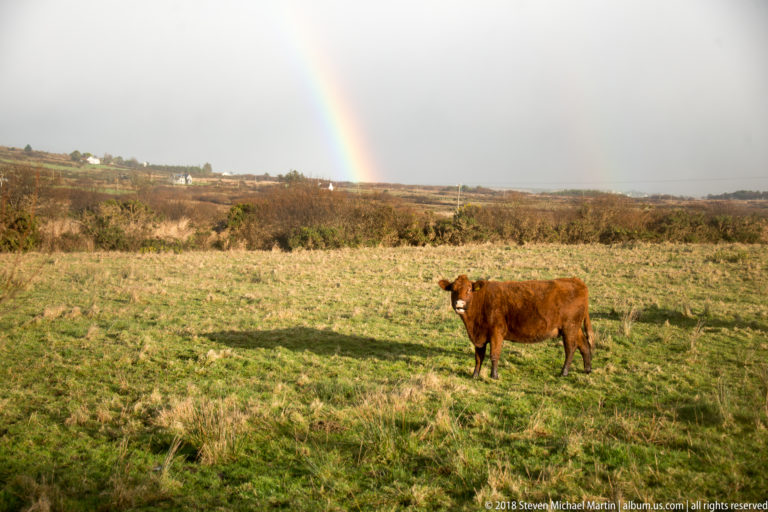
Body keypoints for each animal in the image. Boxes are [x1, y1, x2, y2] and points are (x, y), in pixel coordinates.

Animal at [438, 275, 593, 379]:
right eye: (453, 290)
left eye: (469, 290)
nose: (459, 304)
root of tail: (576, 281)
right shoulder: (479, 336)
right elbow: (478, 357)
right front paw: (475, 375)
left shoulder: (496, 332)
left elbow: (494, 354)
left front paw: (494, 375)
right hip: (575, 328)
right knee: (584, 345)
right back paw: (587, 369)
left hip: (569, 327)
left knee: (570, 348)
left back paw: (564, 372)